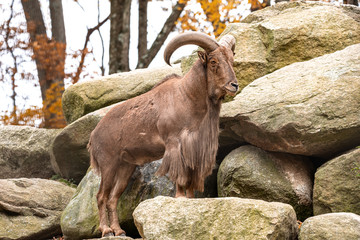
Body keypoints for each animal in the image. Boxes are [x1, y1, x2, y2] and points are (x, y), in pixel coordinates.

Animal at [87, 31, 238, 236]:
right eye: (213, 61)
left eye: (231, 59)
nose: (234, 85)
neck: (187, 96)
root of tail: (93, 134)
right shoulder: (175, 143)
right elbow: (180, 175)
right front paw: (180, 197)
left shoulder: (194, 148)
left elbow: (190, 177)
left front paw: (191, 198)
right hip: (108, 164)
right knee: (101, 196)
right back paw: (106, 230)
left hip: (126, 167)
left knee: (113, 198)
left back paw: (119, 231)